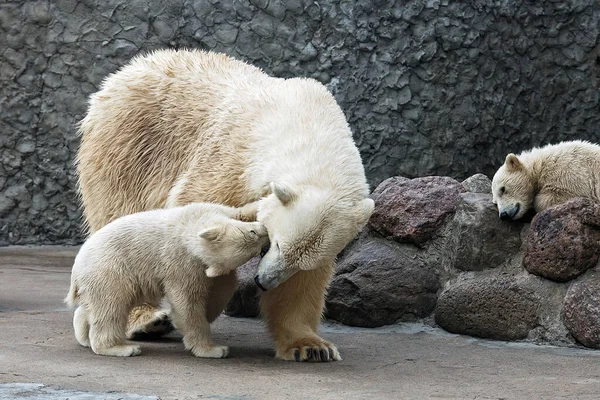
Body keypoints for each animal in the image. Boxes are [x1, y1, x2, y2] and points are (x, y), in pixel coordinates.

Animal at [77, 49, 372, 362]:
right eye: (277, 244)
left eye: (298, 260)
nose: (263, 281)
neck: (303, 121)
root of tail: (124, 73)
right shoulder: (229, 162)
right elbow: (195, 226)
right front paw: (205, 306)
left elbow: (302, 283)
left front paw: (311, 346)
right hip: (128, 149)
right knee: (122, 216)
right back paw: (147, 320)